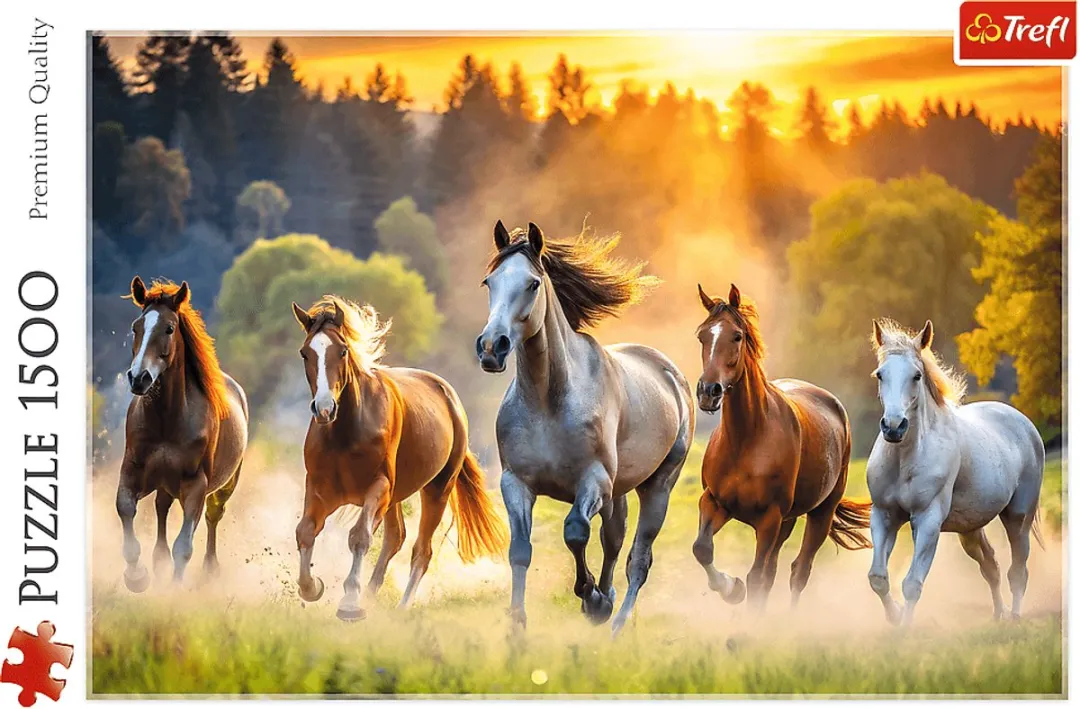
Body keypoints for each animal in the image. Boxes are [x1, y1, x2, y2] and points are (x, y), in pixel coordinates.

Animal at [117, 277, 249, 592]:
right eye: (136, 327)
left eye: (168, 328)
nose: (138, 378)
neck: (168, 420)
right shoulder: (132, 470)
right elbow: (125, 510)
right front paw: (137, 576)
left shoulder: (195, 486)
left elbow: (184, 545)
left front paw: (174, 591)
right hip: (165, 484)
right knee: (161, 508)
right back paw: (158, 562)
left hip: (224, 486)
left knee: (213, 516)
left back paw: (210, 569)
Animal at [291, 296, 508, 620]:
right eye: (305, 353)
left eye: (342, 351)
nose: (325, 408)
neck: (346, 432)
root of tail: (450, 398)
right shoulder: (320, 489)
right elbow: (305, 531)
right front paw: (312, 587)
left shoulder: (378, 488)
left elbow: (360, 536)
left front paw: (350, 603)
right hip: (395, 497)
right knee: (396, 537)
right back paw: (370, 596)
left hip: (436, 490)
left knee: (421, 550)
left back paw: (402, 606)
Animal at [475, 221, 695, 636]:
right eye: (489, 281)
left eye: (532, 284)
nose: (492, 348)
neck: (549, 401)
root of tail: (671, 374)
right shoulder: (516, 483)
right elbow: (520, 551)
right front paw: (517, 628)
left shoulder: (593, 482)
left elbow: (575, 531)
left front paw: (590, 598)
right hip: (619, 491)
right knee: (614, 540)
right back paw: (607, 600)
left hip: (657, 486)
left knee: (638, 559)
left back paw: (615, 622)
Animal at [691, 283, 872, 611]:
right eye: (702, 336)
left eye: (736, 336)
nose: (709, 392)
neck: (746, 439)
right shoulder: (714, 502)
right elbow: (703, 549)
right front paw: (730, 589)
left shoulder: (769, 519)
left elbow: (755, 577)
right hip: (788, 521)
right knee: (774, 571)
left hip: (820, 514)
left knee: (799, 570)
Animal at [866, 319, 1045, 625]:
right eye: (880, 374)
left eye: (916, 376)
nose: (894, 427)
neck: (905, 459)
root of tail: (1023, 422)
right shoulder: (884, 515)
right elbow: (878, 577)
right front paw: (895, 617)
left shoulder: (927, 520)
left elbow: (912, 583)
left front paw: (903, 629)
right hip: (971, 529)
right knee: (991, 567)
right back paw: (998, 616)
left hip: (1018, 517)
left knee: (1018, 571)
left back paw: (1014, 617)